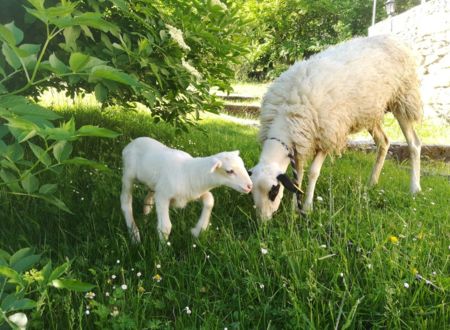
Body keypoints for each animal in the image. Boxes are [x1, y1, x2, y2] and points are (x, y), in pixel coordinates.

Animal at [119, 137, 253, 242]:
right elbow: (165, 227)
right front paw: (162, 253)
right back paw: (134, 234)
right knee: (126, 201)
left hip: (152, 182)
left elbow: (210, 199)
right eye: (229, 171)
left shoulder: (193, 193)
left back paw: (146, 213)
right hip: (128, 175)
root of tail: (131, 143)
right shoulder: (163, 196)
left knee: (148, 196)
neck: (189, 172)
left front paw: (198, 230)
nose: (250, 186)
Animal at [251, 34, 424, 220]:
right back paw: (371, 183)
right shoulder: (301, 141)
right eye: (252, 191)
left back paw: (414, 188)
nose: (263, 221)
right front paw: (294, 209)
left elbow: (313, 172)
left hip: (403, 98)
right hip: (370, 112)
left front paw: (307, 207)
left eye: (273, 191)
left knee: (414, 143)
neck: (287, 116)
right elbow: (298, 176)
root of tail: (393, 39)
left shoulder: (327, 134)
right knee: (383, 142)